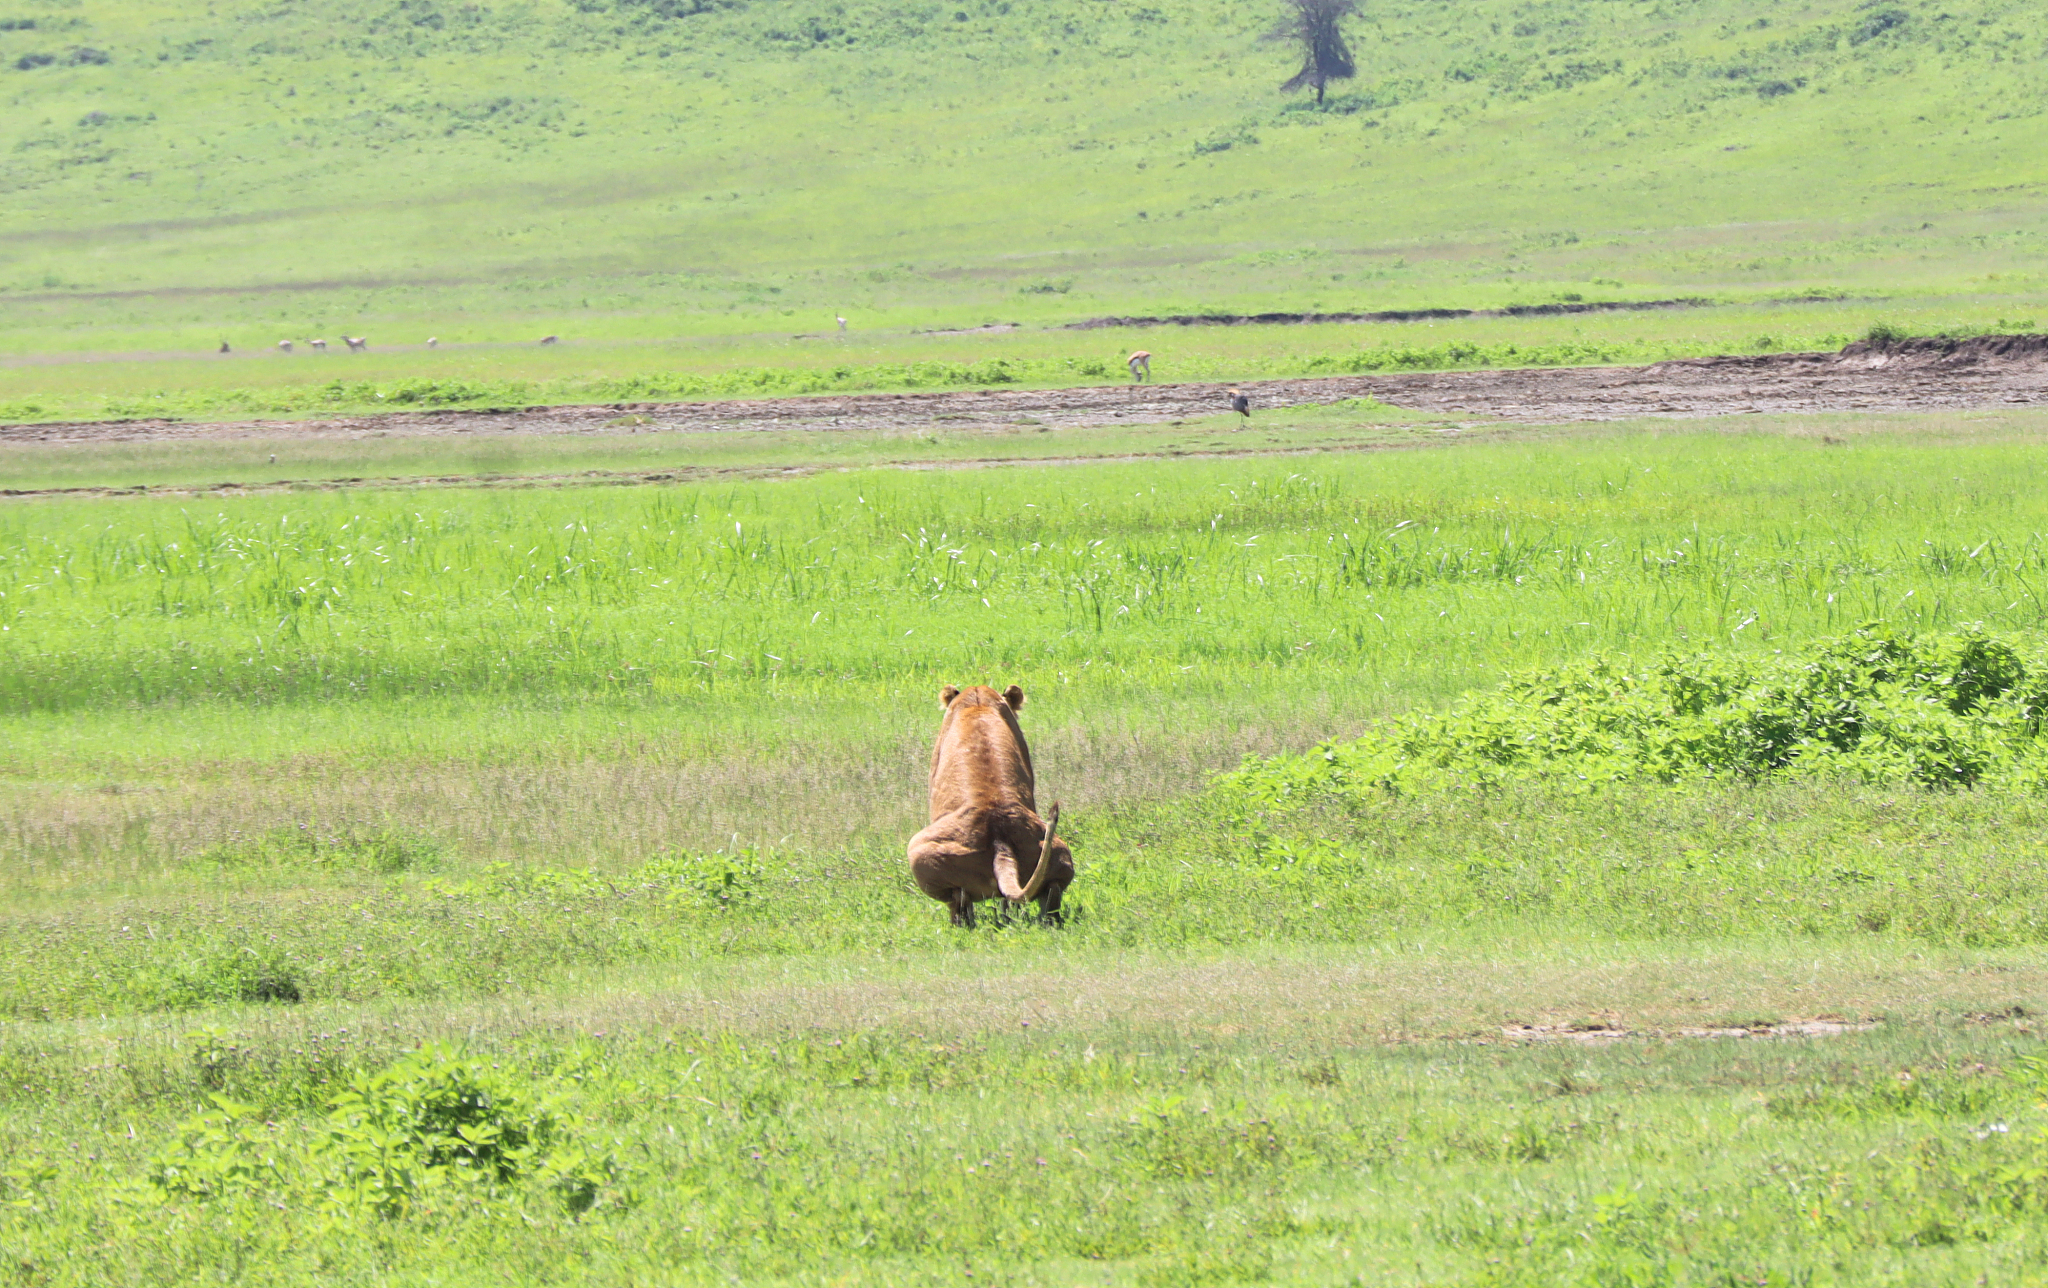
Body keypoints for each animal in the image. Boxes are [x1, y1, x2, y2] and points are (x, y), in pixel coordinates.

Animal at [908, 684, 1073, 927]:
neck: (978, 704)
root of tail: (998, 834)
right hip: (1058, 853)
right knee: (1046, 899)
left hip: (918, 851)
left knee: (959, 902)